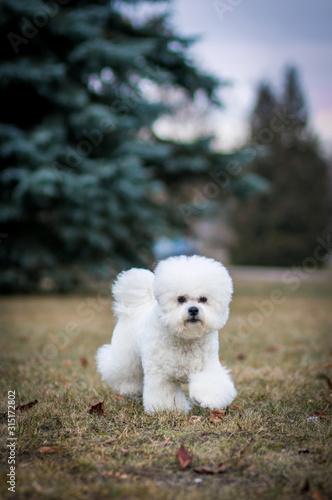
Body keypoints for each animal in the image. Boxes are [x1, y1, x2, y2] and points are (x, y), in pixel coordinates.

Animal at [96, 256, 236, 412]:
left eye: (203, 299)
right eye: (181, 299)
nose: (193, 310)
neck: (186, 340)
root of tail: (137, 308)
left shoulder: (206, 366)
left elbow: (211, 382)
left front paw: (206, 399)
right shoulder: (161, 375)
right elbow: (165, 393)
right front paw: (167, 409)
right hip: (126, 356)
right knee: (123, 371)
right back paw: (131, 390)